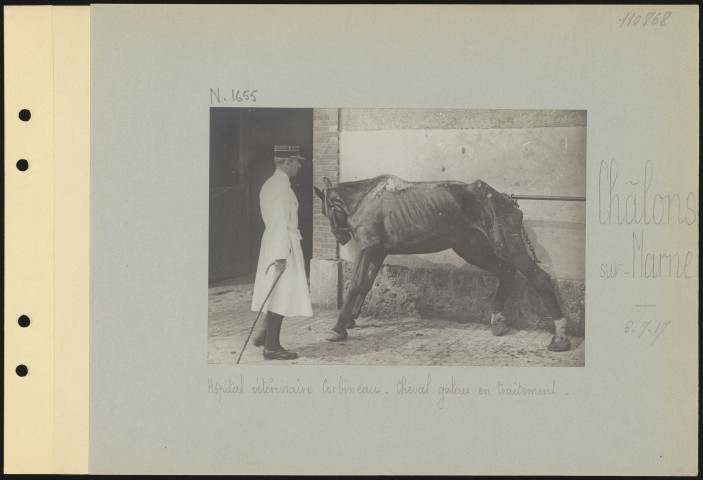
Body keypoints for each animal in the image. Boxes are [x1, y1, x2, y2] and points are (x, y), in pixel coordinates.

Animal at [313, 175, 571, 352]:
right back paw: (498, 319)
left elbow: (355, 285)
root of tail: (505, 201)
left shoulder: (367, 249)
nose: (340, 237)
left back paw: (560, 337)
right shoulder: (378, 252)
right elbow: (366, 285)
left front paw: (339, 328)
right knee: (506, 272)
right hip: (472, 249)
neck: (365, 198)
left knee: (539, 278)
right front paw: (351, 319)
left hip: (508, 247)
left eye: (325, 210)